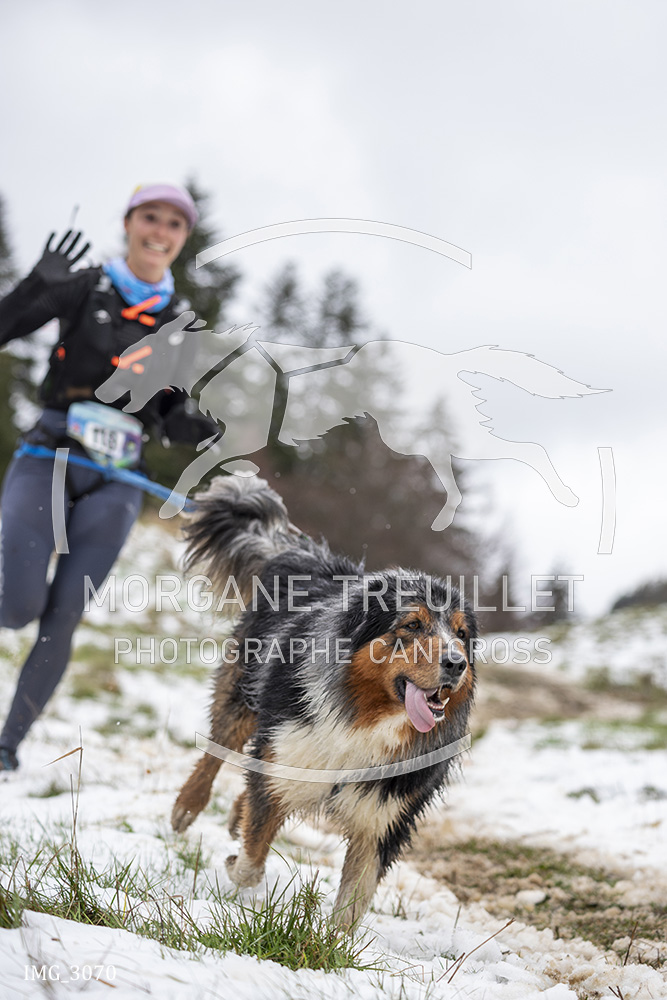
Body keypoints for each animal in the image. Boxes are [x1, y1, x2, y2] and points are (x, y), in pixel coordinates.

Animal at [171, 476, 478, 927]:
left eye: (461, 634)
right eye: (412, 625)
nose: (456, 664)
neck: (367, 718)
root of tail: (308, 557)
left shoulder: (383, 817)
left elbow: (352, 905)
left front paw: (333, 945)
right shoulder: (288, 750)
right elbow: (251, 863)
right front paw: (234, 863)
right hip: (245, 690)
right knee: (218, 746)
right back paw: (187, 807)